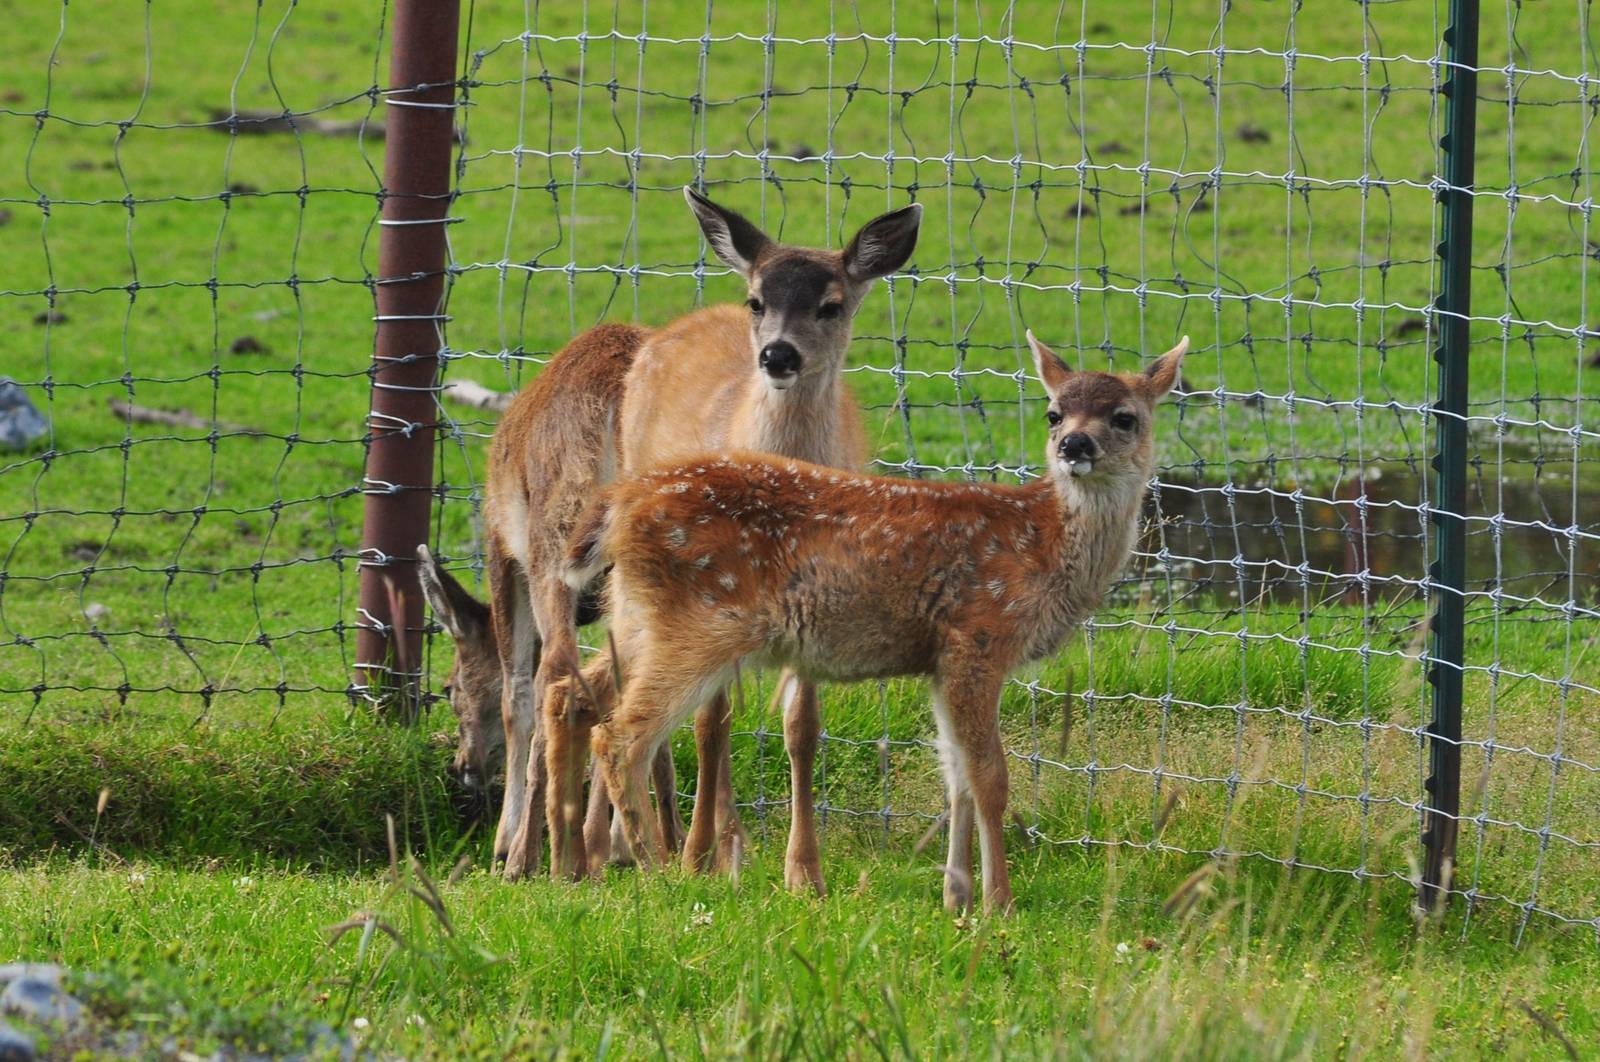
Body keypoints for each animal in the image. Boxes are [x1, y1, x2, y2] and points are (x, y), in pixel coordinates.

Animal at [417, 188, 924, 886]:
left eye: (832, 303)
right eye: (757, 300)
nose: (778, 355)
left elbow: (800, 723)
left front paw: (799, 872)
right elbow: (716, 717)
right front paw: (707, 852)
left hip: (562, 551)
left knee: (557, 679)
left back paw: (554, 853)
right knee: (584, 681)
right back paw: (596, 850)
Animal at [559, 332, 1188, 914]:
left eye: (1125, 417)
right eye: (1053, 412)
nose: (1073, 444)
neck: (1043, 544)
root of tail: (619, 500)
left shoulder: (941, 661)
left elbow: (956, 777)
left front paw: (955, 896)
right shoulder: (977, 637)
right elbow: (990, 777)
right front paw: (999, 903)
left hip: (638, 614)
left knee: (575, 692)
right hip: (702, 622)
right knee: (622, 735)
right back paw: (656, 871)